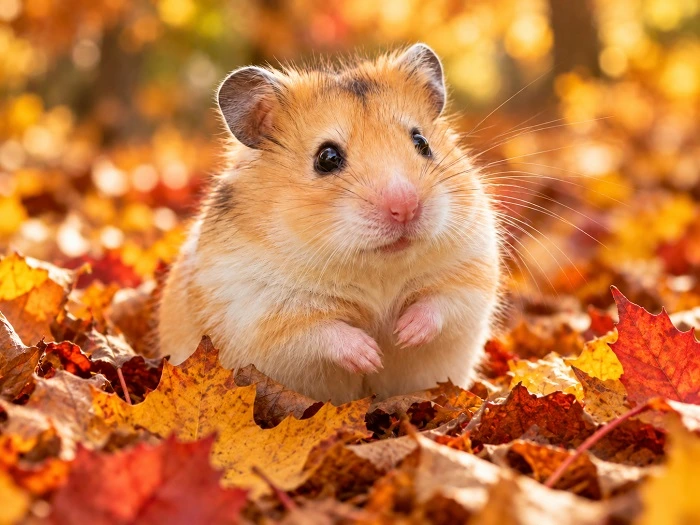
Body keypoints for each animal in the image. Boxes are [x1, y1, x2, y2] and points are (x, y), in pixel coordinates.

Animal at [158, 44, 501, 404]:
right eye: (327, 158)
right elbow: (322, 332)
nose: (406, 207)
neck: (377, 267)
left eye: (421, 143)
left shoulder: (472, 270)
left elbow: (440, 303)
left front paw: (404, 334)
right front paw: (372, 355)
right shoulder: (263, 310)